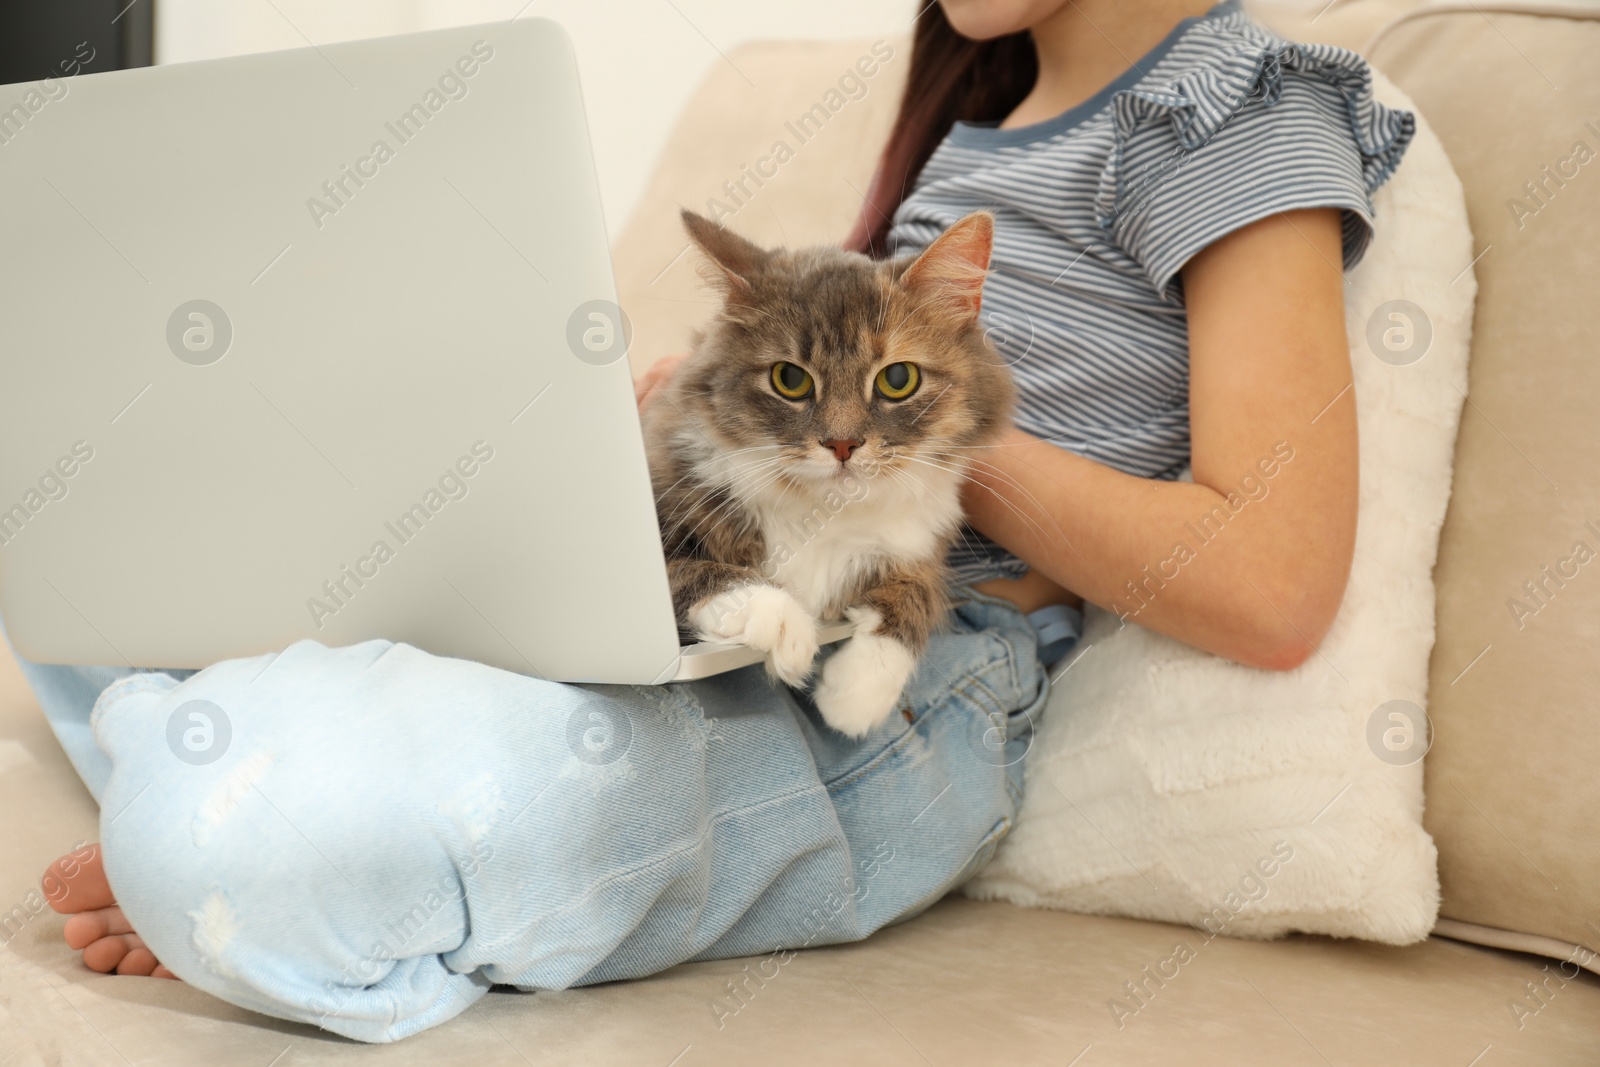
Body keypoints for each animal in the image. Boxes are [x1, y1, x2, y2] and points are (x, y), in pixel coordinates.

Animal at [640, 211, 1004, 739]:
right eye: (790, 380)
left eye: (898, 380)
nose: (842, 444)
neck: (820, 514)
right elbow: (690, 569)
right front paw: (777, 616)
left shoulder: (920, 543)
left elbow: (917, 590)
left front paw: (857, 691)